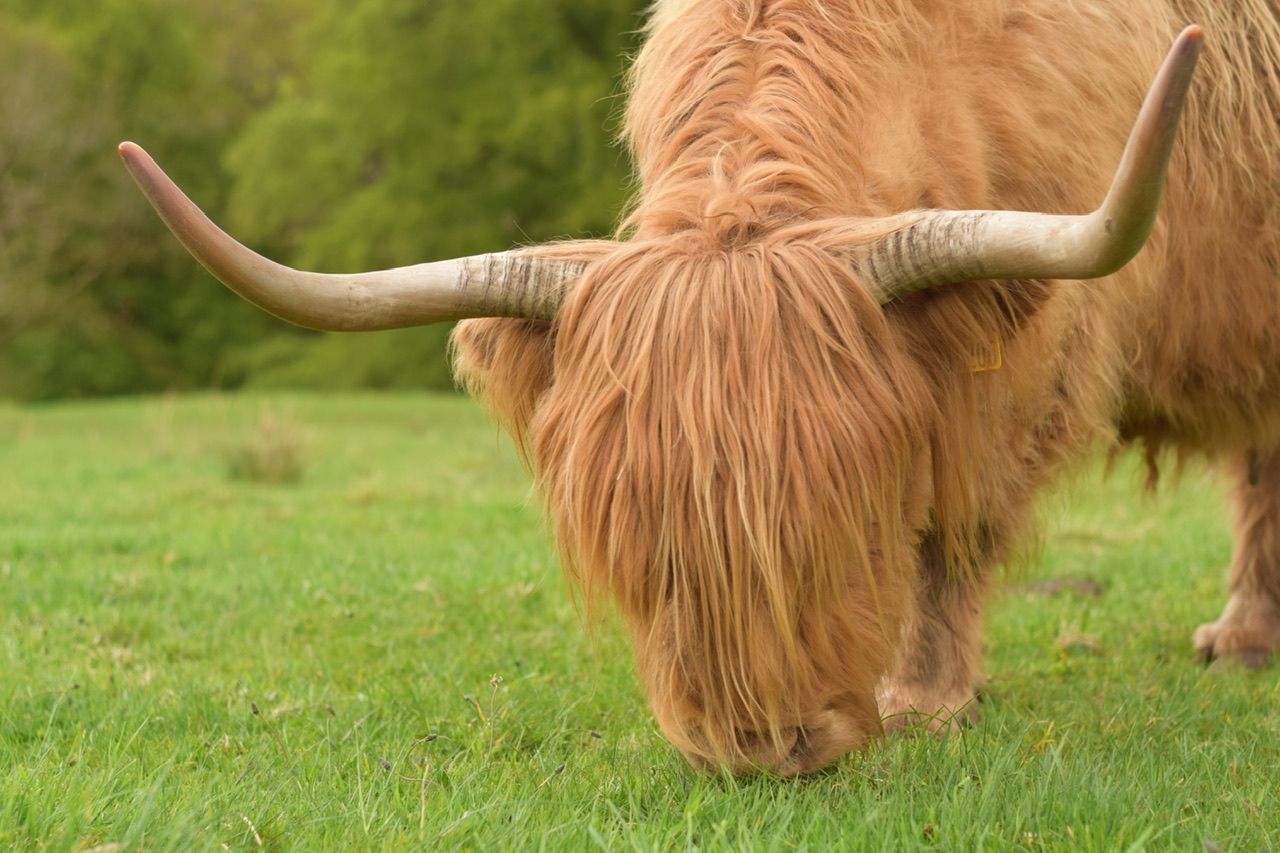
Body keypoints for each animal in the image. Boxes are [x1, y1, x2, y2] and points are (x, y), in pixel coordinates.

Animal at [118, 0, 1280, 776]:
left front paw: (926, 697)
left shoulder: (1033, 355)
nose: (761, 747)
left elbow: (957, 521)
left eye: (840, 524)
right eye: (639, 549)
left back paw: (1240, 637)